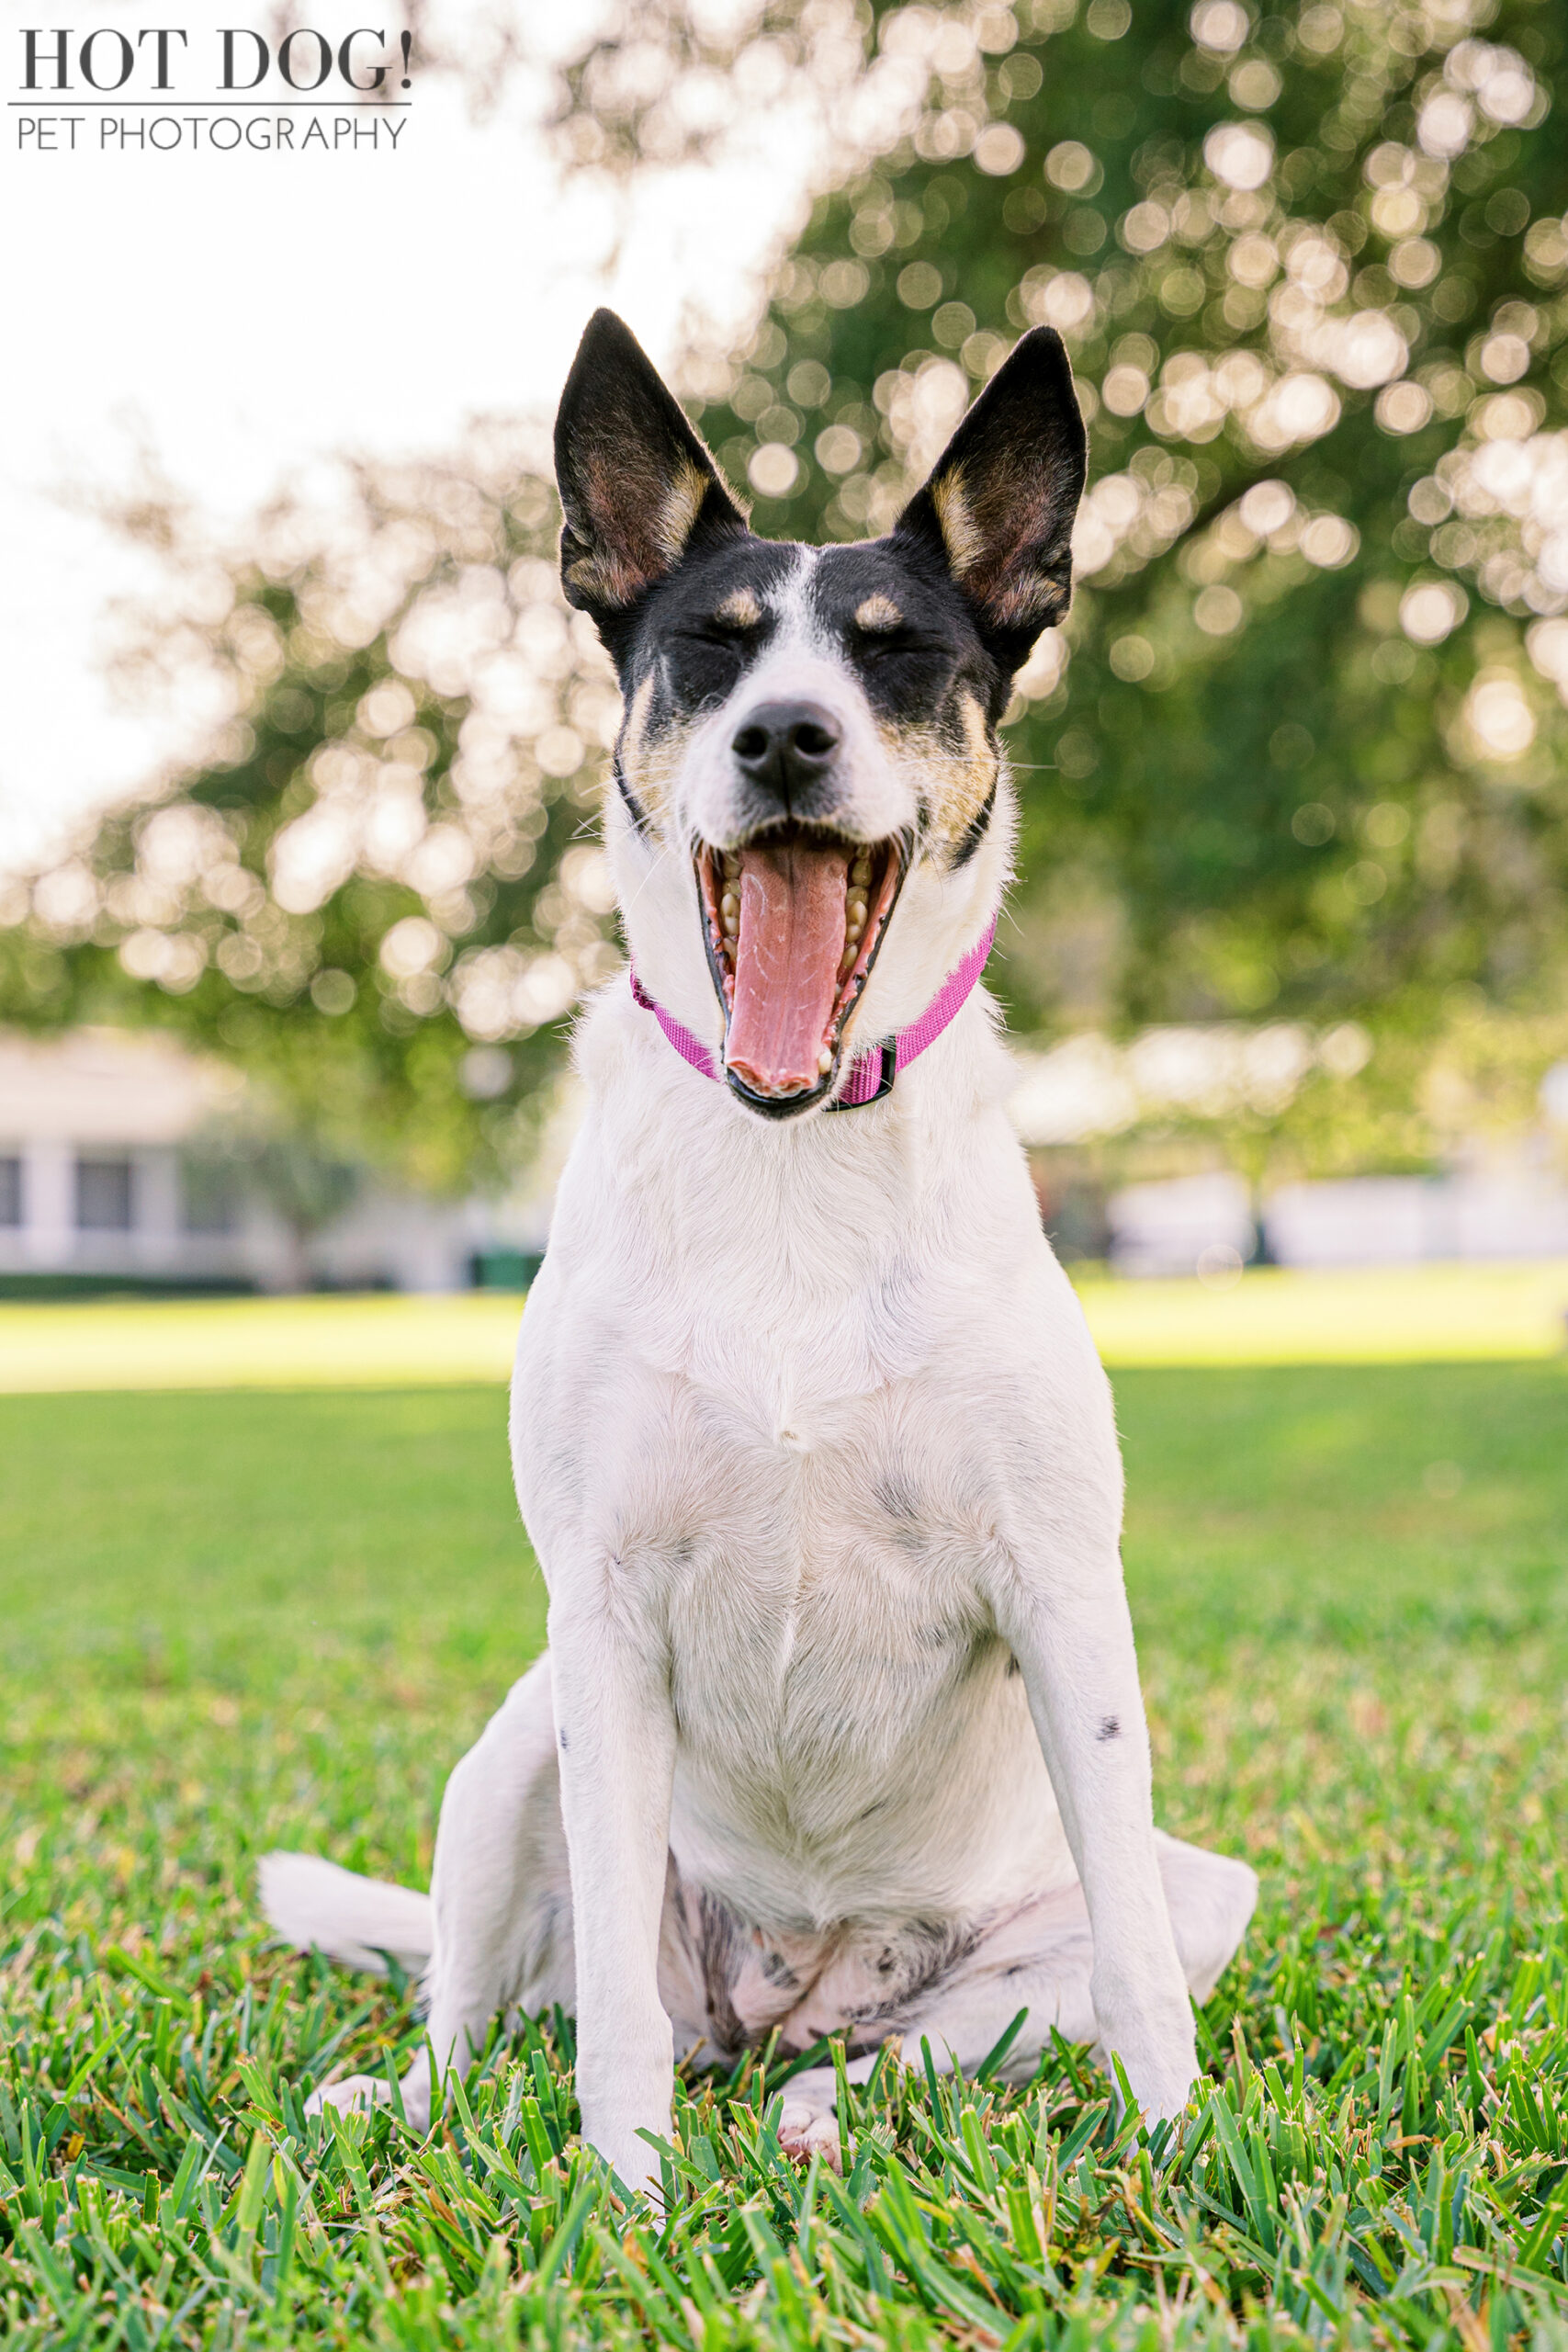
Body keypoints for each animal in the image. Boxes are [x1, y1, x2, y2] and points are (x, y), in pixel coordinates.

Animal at [263, 308, 1259, 2182]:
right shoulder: (598, 1613)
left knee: (942, 2042)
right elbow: (600, 2017)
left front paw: (1185, 2161)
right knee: (486, 2009)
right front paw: (622, 2191)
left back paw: (828, 2111)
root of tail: (781, 1990)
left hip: (1176, 1892)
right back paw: (414, 2096)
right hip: (512, 1754)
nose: (786, 737)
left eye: (895, 657)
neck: (792, 1155)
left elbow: (1139, 1983)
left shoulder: (1063, 1598)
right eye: (708, 652)